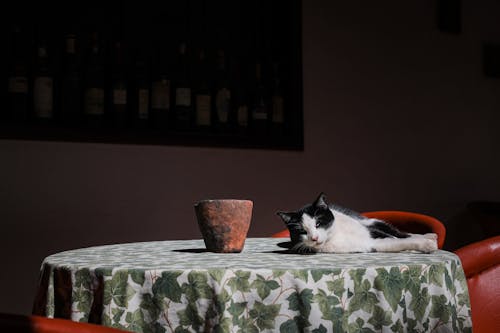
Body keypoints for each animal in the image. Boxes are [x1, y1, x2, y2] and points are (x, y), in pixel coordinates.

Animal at [278, 191, 438, 253]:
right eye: (303, 231)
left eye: (318, 224)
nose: (314, 238)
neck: (336, 236)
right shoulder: (371, 245)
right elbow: (399, 243)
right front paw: (424, 246)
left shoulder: (371, 232)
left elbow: (403, 238)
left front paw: (427, 243)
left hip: (370, 222)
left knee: (400, 233)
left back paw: (430, 236)